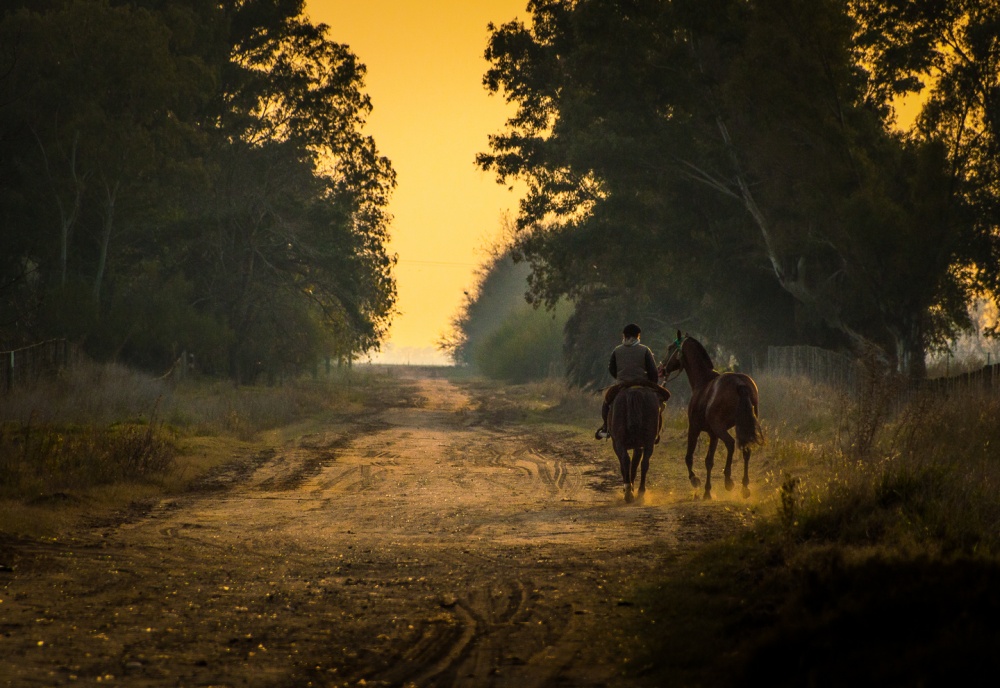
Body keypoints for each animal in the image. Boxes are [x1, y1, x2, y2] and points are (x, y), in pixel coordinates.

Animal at [660, 334, 760, 500]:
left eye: (670, 348)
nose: (661, 369)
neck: (703, 381)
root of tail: (740, 384)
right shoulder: (713, 434)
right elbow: (709, 461)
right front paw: (707, 491)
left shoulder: (694, 428)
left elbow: (689, 457)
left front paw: (695, 480)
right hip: (743, 426)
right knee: (746, 449)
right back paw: (745, 487)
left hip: (720, 428)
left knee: (731, 444)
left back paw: (728, 480)